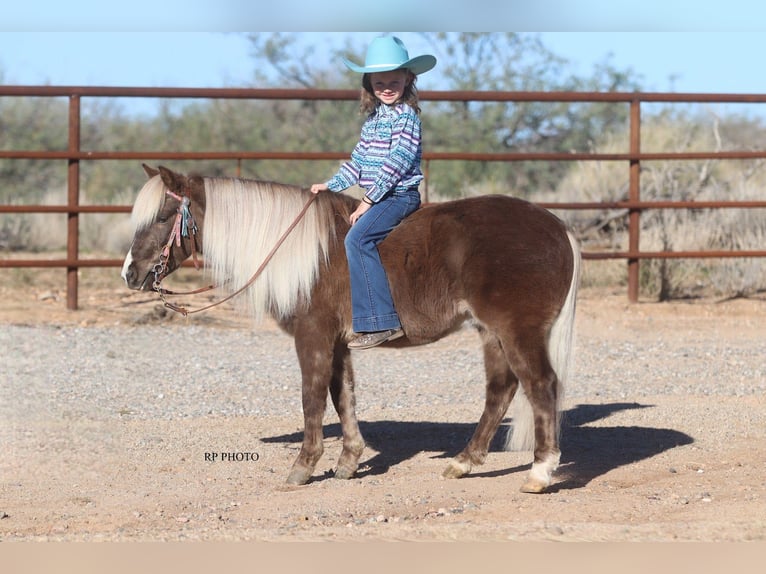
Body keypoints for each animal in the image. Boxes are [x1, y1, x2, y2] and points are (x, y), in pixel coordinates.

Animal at [121, 165, 581, 493]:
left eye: (163, 216)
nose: (130, 274)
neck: (305, 254)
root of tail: (558, 226)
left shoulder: (313, 337)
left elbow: (312, 398)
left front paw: (302, 468)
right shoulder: (339, 343)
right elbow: (343, 397)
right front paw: (348, 462)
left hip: (516, 330)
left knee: (540, 386)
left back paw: (539, 473)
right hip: (490, 332)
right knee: (501, 390)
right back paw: (463, 463)